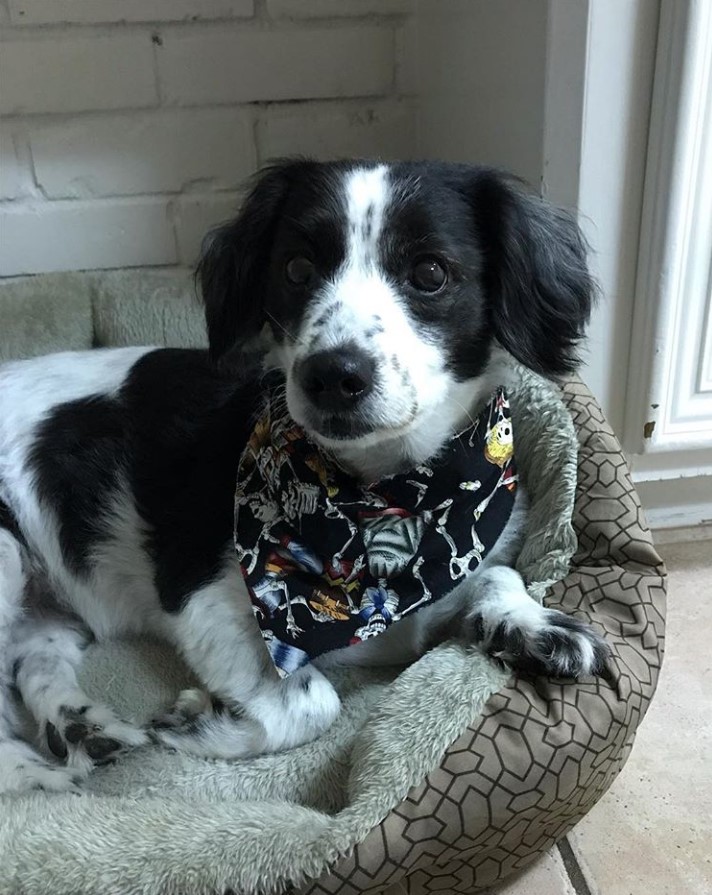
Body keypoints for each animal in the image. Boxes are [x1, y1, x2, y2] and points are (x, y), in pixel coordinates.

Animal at [0, 158, 608, 796]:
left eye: (430, 272)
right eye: (296, 268)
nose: (333, 375)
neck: (385, 496)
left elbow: (499, 575)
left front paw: (530, 623)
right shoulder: (198, 598)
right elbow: (315, 704)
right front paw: (201, 725)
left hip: (49, 614)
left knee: (32, 661)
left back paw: (79, 728)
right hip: (6, 551)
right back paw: (34, 773)